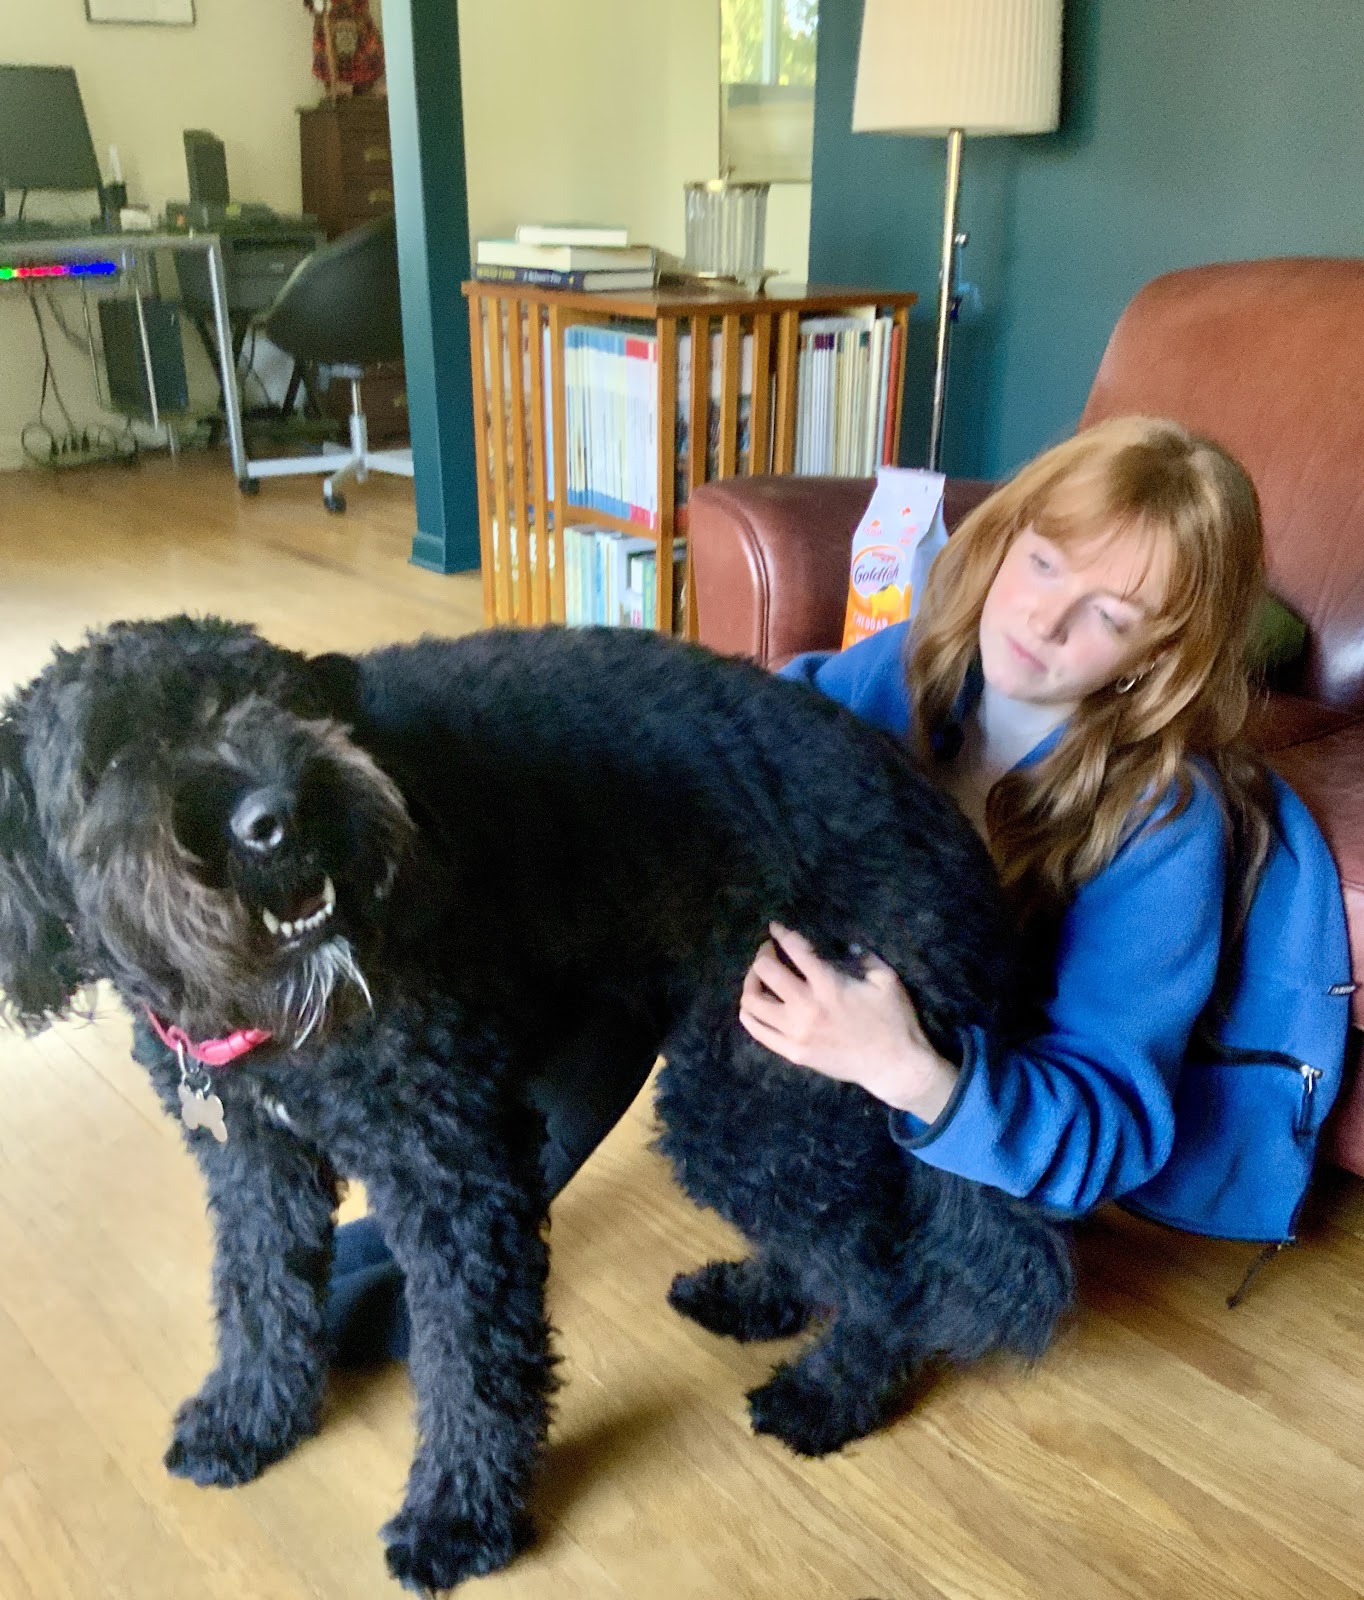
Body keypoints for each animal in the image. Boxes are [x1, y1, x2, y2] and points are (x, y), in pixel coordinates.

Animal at [0, 616, 1074, 1592]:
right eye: (108, 755)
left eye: (273, 698)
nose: (275, 815)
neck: (265, 1012)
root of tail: (950, 835)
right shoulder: (254, 1161)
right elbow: (259, 1293)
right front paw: (249, 1416)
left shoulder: (455, 1171)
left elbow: (470, 1359)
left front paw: (458, 1516)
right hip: (773, 1097)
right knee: (838, 1235)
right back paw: (759, 1295)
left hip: (763, 1082)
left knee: (888, 1275)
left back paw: (831, 1394)